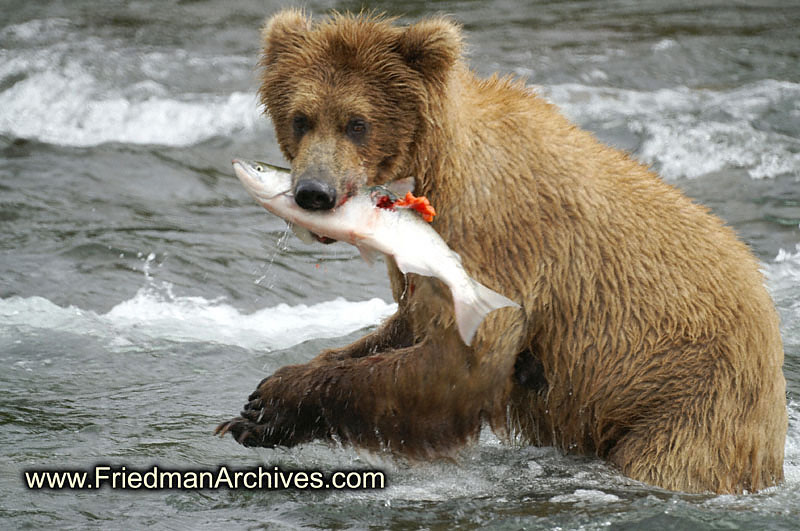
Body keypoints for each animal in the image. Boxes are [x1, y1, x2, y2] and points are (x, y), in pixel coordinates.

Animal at [216, 8, 784, 494]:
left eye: (358, 122)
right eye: (301, 117)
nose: (314, 192)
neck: (435, 167)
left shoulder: (494, 238)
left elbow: (464, 361)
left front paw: (278, 396)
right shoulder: (424, 262)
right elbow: (405, 328)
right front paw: (255, 413)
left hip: (689, 399)